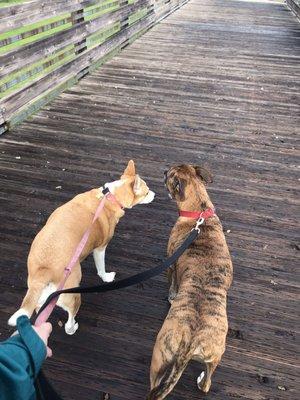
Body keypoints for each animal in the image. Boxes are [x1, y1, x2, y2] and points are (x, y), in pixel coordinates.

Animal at [7, 160, 155, 334]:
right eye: (146, 192)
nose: (155, 194)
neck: (109, 197)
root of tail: (45, 271)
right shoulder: (100, 248)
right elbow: (101, 268)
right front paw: (106, 277)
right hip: (73, 296)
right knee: (69, 321)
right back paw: (72, 328)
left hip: (41, 300)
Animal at [146, 164, 233, 398]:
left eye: (169, 176)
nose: (164, 170)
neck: (199, 211)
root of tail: (190, 343)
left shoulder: (171, 263)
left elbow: (172, 285)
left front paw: (171, 296)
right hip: (215, 356)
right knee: (206, 384)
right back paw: (203, 380)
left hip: (159, 357)